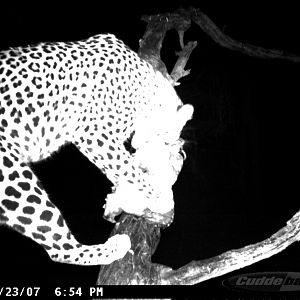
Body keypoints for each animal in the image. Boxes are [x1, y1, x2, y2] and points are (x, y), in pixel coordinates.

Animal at [0, 34, 193, 266]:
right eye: (165, 139)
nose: (177, 146)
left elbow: (120, 171)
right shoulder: (94, 134)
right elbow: (128, 168)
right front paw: (161, 198)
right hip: (12, 176)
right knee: (59, 248)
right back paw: (115, 247)